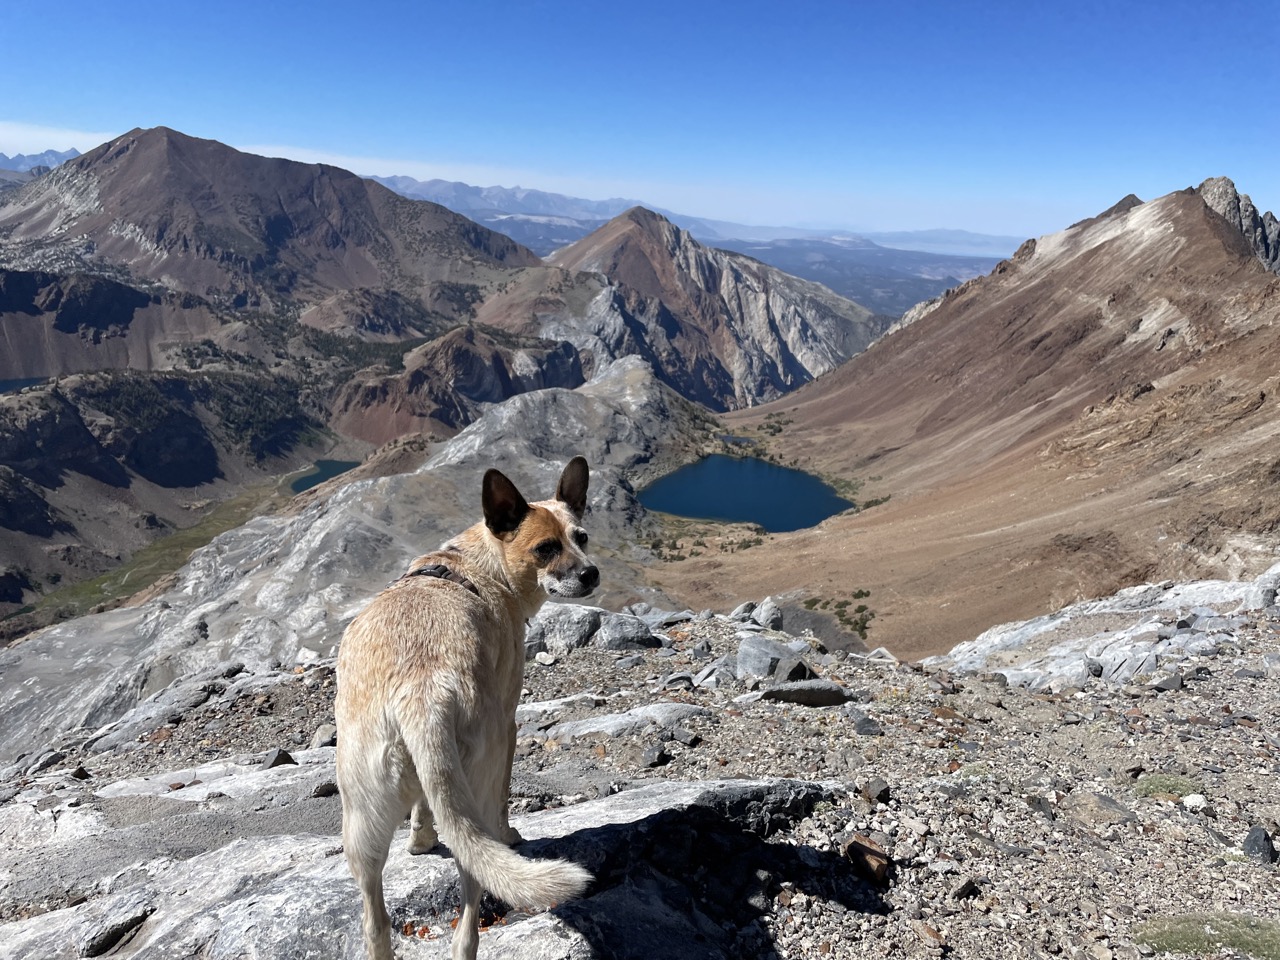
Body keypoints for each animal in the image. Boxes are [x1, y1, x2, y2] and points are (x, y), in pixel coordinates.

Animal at [340, 458, 599, 960]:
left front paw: (421, 840)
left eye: (582, 537)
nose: (591, 574)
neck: (481, 565)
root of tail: (419, 694)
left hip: (362, 822)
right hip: (475, 790)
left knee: (375, 923)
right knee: (469, 912)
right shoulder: (509, 725)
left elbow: (424, 804)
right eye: (545, 548)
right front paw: (512, 834)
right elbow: (504, 801)